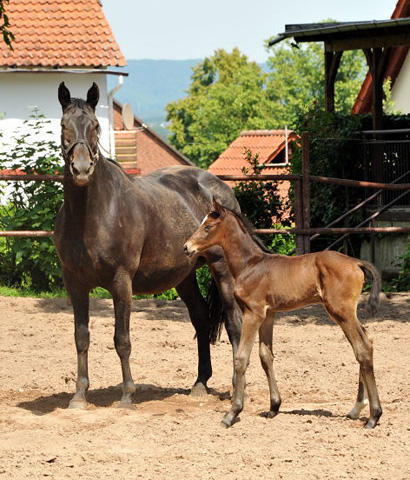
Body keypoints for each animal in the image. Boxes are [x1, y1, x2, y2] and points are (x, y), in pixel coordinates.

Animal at [184, 201, 382, 430]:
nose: (187, 247)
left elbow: (241, 358)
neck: (250, 264)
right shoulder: (268, 315)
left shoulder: (253, 313)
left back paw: (374, 416)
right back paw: (357, 408)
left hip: (341, 312)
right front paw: (274, 407)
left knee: (362, 348)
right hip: (345, 313)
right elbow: (265, 356)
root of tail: (356, 262)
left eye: (207, 227)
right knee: (369, 339)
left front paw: (232, 413)